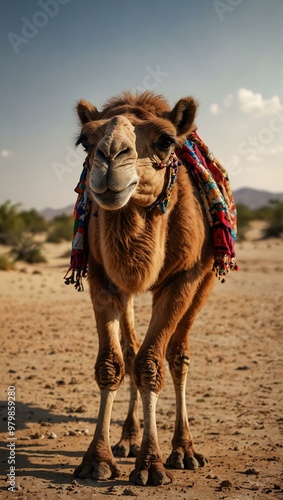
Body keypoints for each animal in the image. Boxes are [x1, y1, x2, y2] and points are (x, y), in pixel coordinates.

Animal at [71, 92, 226, 486]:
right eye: (86, 141)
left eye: (165, 140)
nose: (110, 157)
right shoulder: (101, 276)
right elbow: (112, 364)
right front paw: (97, 460)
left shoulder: (183, 277)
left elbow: (152, 364)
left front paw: (152, 464)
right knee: (130, 350)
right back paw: (127, 438)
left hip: (205, 279)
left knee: (178, 355)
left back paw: (184, 450)